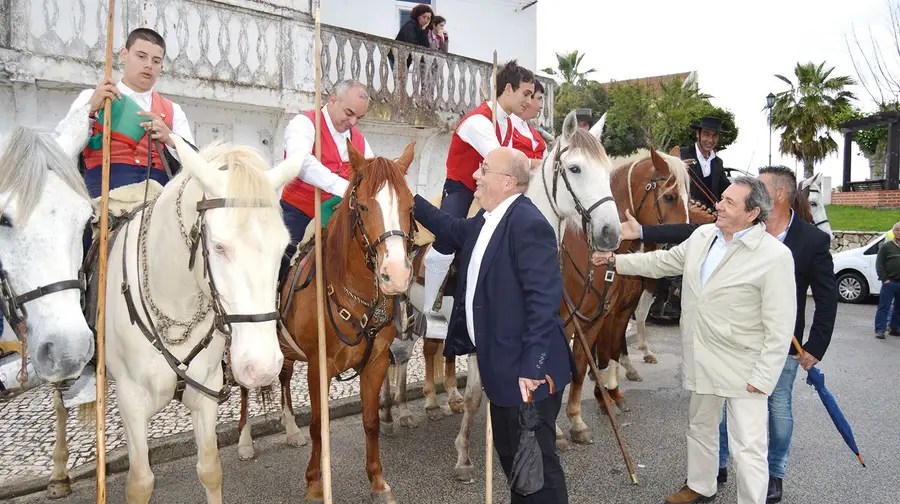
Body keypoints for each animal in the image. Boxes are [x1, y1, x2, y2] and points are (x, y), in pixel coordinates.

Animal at [98, 135, 302, 504]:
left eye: (284, 249)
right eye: (219, 247)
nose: (261, 368)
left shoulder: (206, 391)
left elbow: (210, 468)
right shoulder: (131, 400)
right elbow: (140, 483)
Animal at [232, 141, 414, 504]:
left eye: (411, 206)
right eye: (363, 206)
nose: (396, 275)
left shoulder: (375, 363)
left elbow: (370, 420)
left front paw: (377, 481)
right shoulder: (319, 365)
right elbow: (318, 426)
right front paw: (316, 485)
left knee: (285, 378)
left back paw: (290, 429)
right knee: (245, 388)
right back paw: (245, 441)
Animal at [382, 109, 624, 480]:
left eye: (608, 171)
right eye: (575, 168)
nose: (611, 233)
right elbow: (474, 396)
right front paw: (463, 456)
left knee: (403, 355)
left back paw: (403, 412)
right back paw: (390, 414)